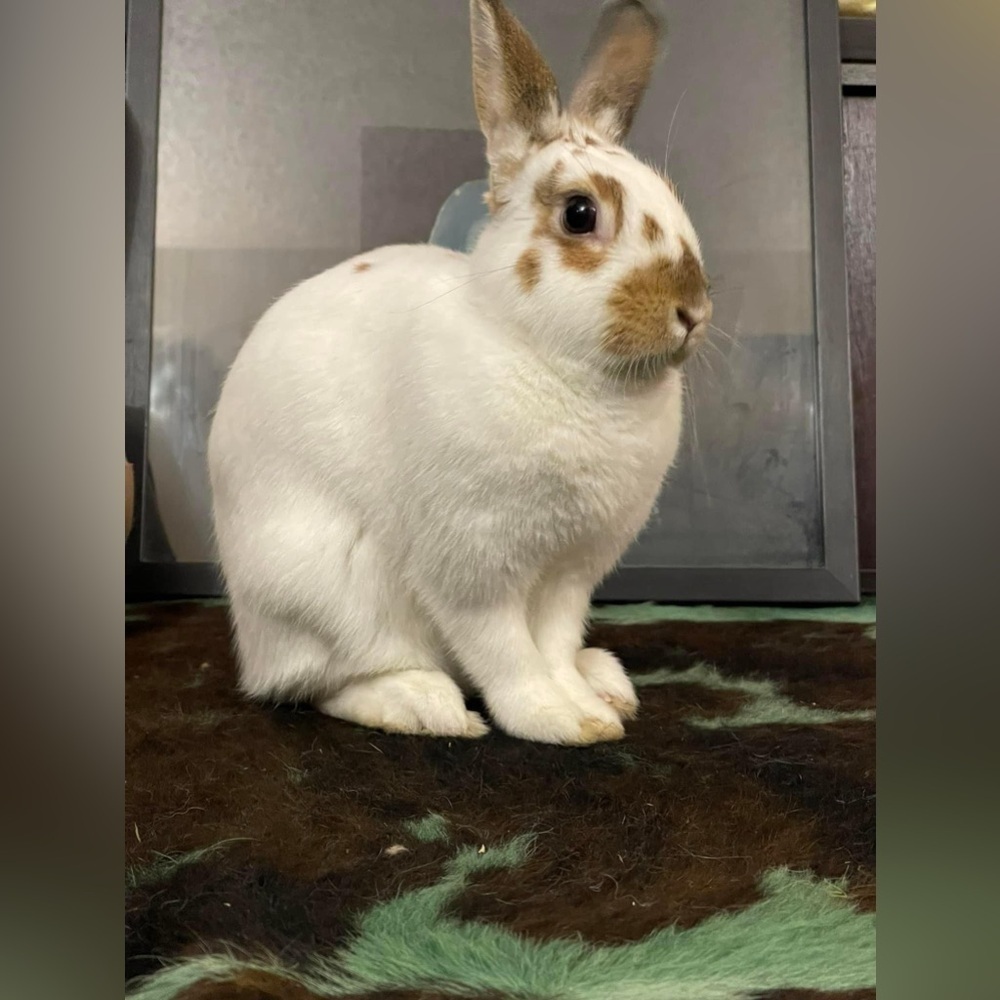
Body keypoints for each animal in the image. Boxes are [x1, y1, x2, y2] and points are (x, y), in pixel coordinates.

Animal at [207, 0, 712, 746]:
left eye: (673, 194)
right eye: (580, 213)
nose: (693, 311)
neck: (557, 362)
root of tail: (253, 638)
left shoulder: (570, 576)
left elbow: (552, 643)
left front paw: (582, 704)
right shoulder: (473, 570)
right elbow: (504, 651)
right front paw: (558, 720)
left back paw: (604, 680)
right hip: (322, 594)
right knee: (318, 683)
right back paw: (424, 704)